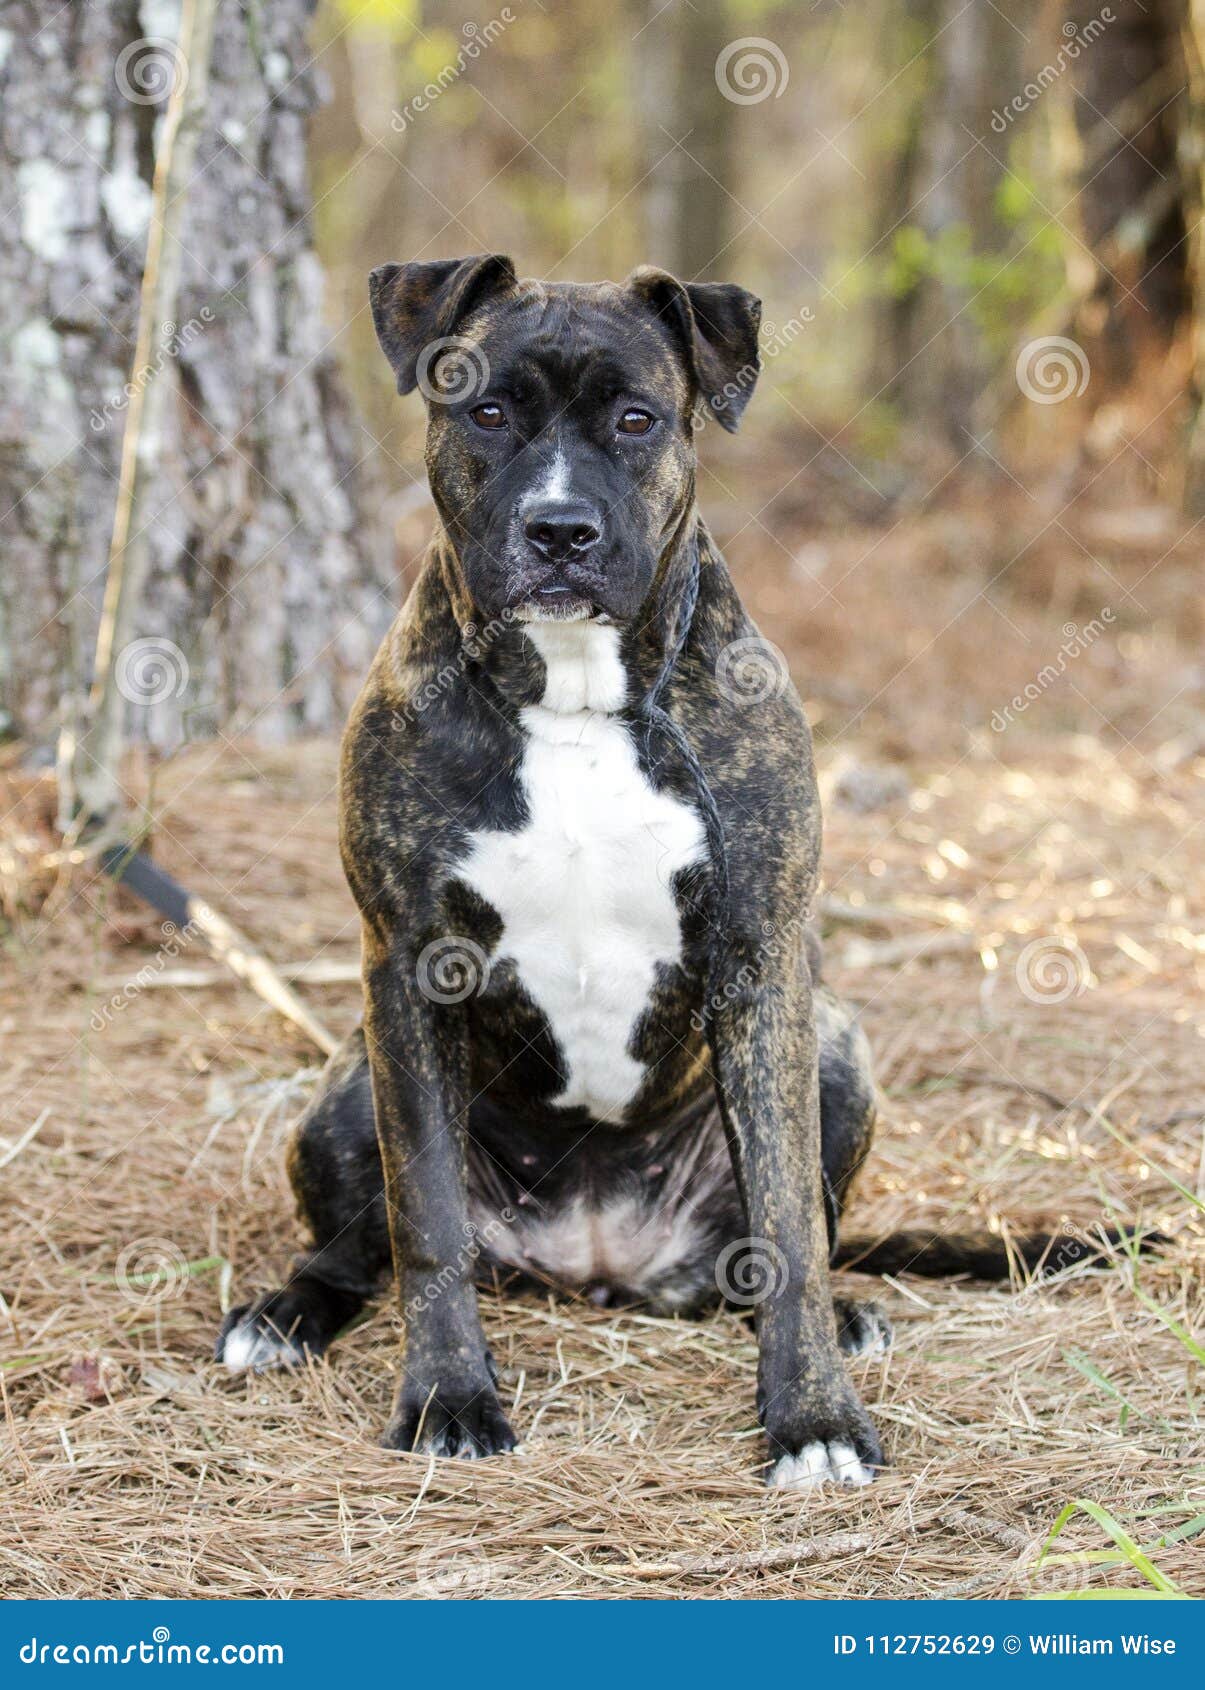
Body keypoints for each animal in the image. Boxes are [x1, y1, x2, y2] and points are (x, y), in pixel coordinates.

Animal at [216, 253, 1149, 1493]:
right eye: (487, 411)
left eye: (635, 418)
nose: (559, 529)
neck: (572, 699)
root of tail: (593, 1258)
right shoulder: (409, 968)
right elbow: (425, 1220)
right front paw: (449, 1398)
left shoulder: (760, 965)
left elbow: (791, 1229)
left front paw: (811, 1417)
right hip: (340, 1087)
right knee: (358, 1242)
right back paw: (285, 1312)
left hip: (835, 1046)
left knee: (788, 1234)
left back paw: (842, 1313)